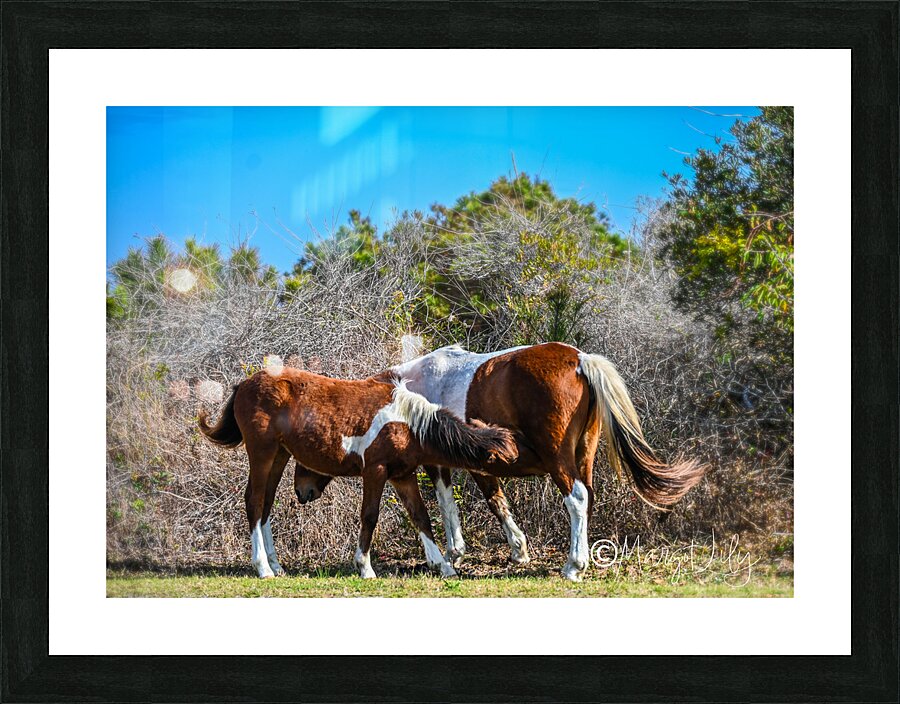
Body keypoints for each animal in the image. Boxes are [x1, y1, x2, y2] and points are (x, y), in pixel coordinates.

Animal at [198, 368, 518, 579]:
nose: (515, 468)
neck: (405, 421)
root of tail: (245, 383)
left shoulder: (403, 476)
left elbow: (421, 517)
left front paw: (443, 565)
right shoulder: (375, 472)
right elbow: (370, 516)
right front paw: (364, 566)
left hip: (279, 455)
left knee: (265, 503)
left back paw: (276, 565)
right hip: (262, 453)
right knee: (253, 501)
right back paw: (263, 567)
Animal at [294, 342, 705, 582]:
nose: (303, 492)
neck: (409, 388)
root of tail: (578, 360)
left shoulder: (439, 463)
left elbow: (446, 505)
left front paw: (453, 554)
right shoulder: (479, 462)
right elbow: (496, 501)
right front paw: (517, 549)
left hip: (558, 459)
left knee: (575, 498)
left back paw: (572, 566)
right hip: (583, 454)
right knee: (587, 496)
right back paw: (583, 556)